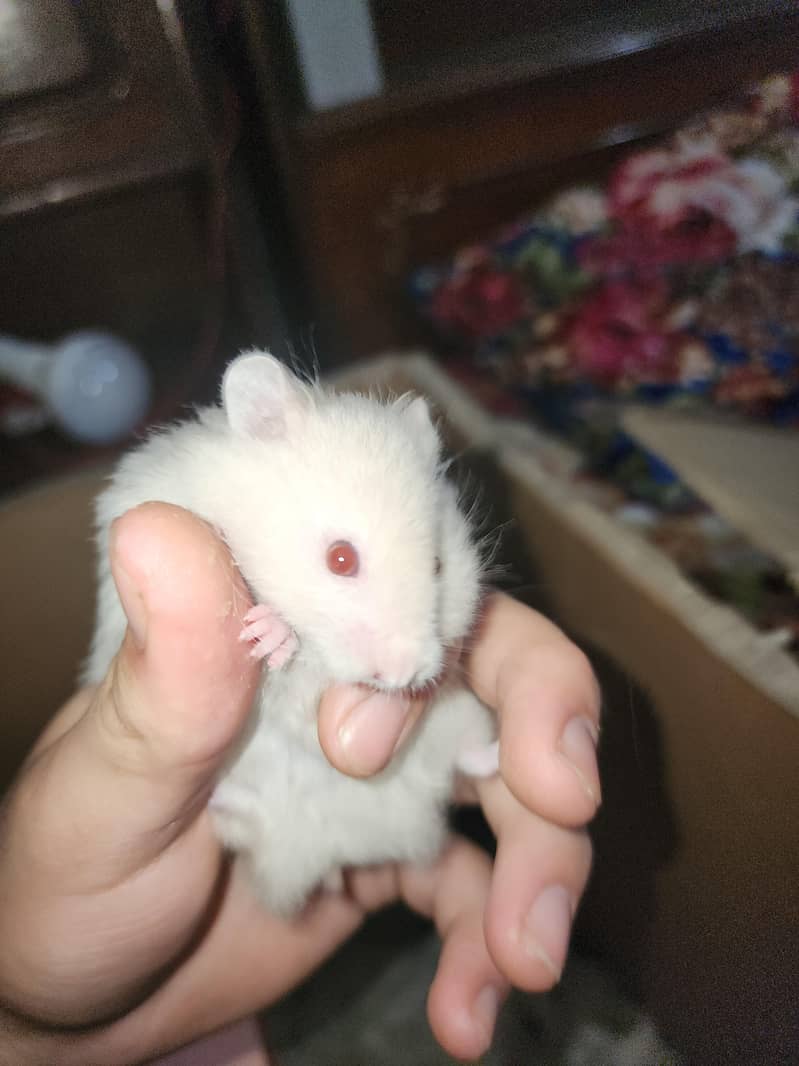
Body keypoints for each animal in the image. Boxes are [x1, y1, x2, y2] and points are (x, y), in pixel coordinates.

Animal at [84, 351, 497, 917]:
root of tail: (341, 847)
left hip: (459, 722)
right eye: (340, 558)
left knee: (468, 757)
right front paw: (270, 632)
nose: (402, 676)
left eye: (438, 565)